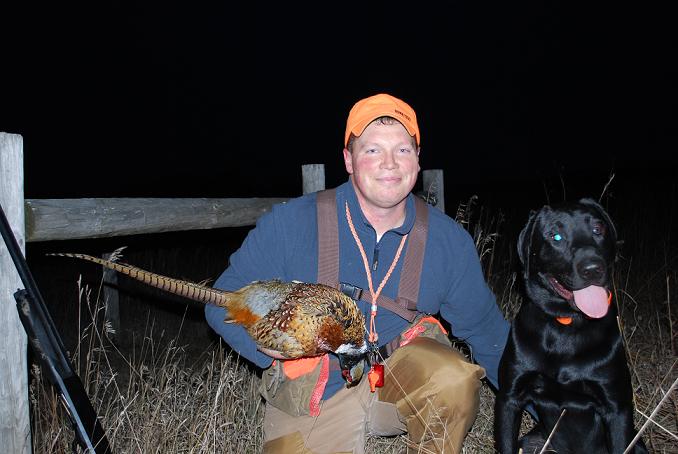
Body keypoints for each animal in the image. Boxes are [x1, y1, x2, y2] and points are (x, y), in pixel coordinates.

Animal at [496, 200, 652, 454]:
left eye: (598, 229)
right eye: (555, 236)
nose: (593, 268)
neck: (566, 325)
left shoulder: (617, 408)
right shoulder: (509, 398)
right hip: (531, 442)